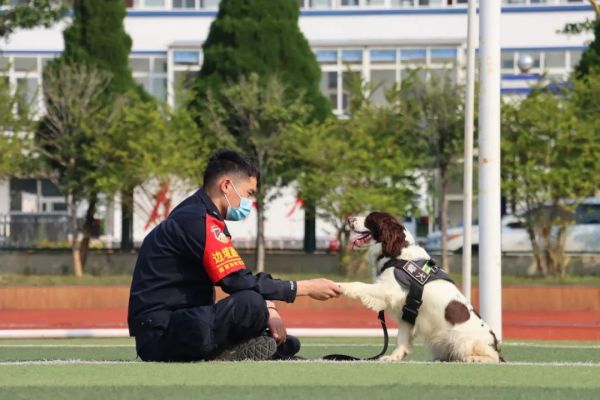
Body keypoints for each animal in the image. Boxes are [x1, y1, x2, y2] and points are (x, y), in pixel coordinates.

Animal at [337, 212, 503, 363]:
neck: (398, 253)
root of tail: (494, 343)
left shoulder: (388, 290)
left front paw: (340, 286)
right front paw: (394, 357)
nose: (349, 219)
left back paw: (474, 359)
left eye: (370, 218)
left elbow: (359, 285)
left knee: (493, 357)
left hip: (460, 338)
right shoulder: (407, 313)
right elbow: (402, 338)